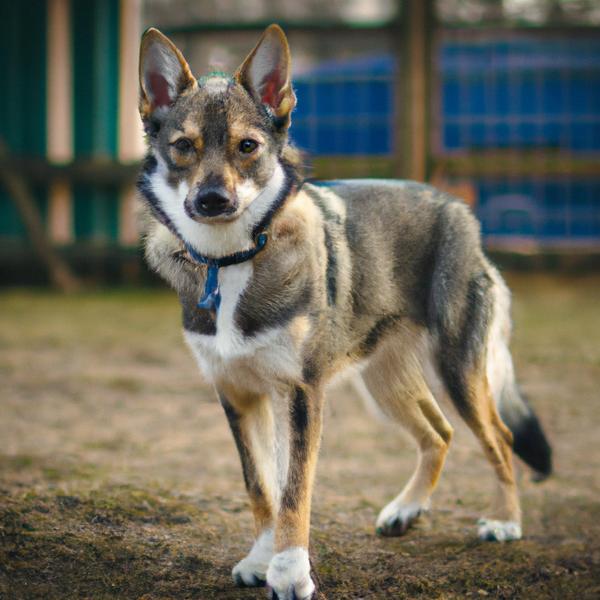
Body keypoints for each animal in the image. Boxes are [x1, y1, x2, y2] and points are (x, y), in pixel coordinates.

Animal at [137, 24, 552, 600]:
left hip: (458, 371)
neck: (231, 260)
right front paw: (261, 560)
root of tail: (458, 208)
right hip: (382, 384)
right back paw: (406, 511)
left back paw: (505, 522)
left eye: (247, 147)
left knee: (500, 437)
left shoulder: (301, 393)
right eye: (183, 147)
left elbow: (294, 492)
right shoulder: (238, 394)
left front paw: (290, 573)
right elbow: (260, 487)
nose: (212, 200)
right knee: (439, 433)